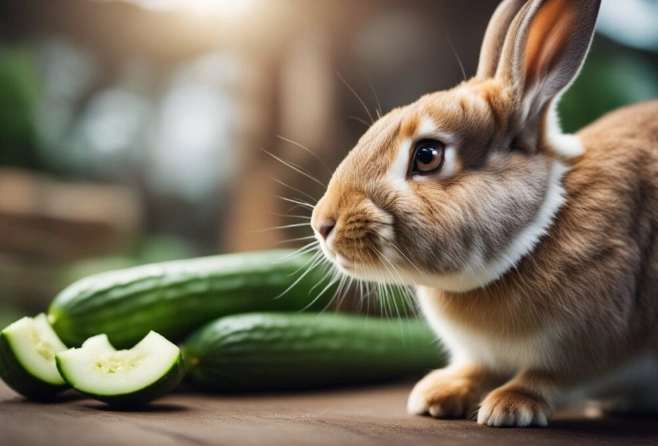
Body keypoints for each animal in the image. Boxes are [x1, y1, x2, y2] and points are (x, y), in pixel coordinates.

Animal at [310, 0, 658, 428]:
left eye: (427, 156)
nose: (322, 224)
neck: (535, 234)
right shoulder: (484, 356)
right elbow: (477, 369)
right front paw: (436, 394)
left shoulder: (594, 340)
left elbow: (549, 377)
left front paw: (509, 408)